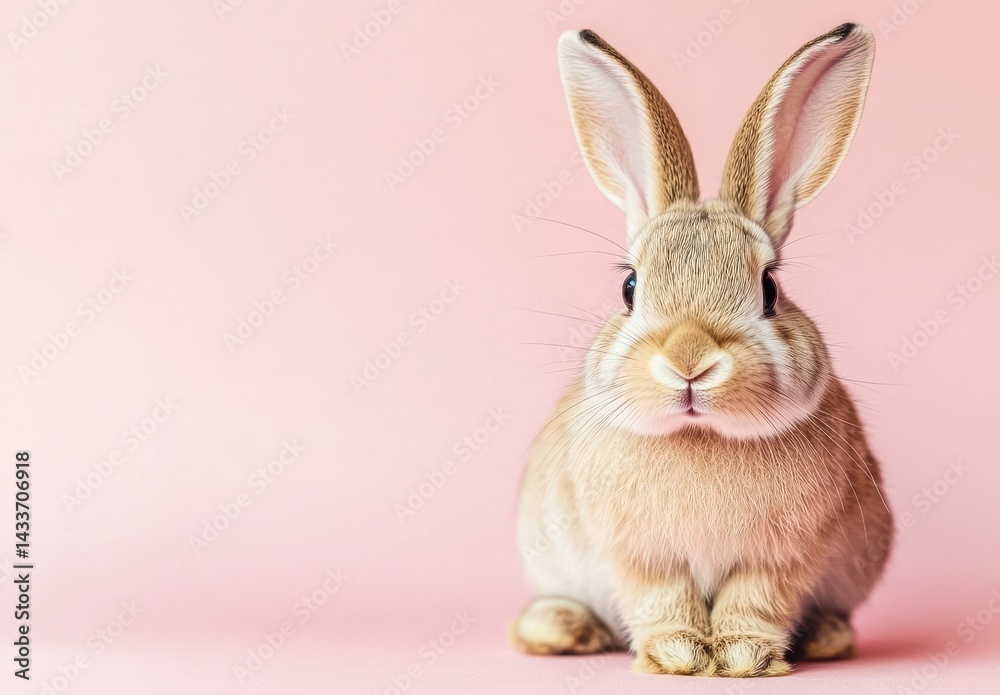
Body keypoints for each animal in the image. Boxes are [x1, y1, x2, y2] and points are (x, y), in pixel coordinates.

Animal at [511, 24, 893, 678]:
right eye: (629, 286)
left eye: (769, 288)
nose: (689, 360)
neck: (701, 437)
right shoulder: (640, 556)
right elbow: (663, 599)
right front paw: (680, 656)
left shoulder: (781, 556)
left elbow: (754, 601)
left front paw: (743, 657)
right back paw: (565, 629)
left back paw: (826, 637)